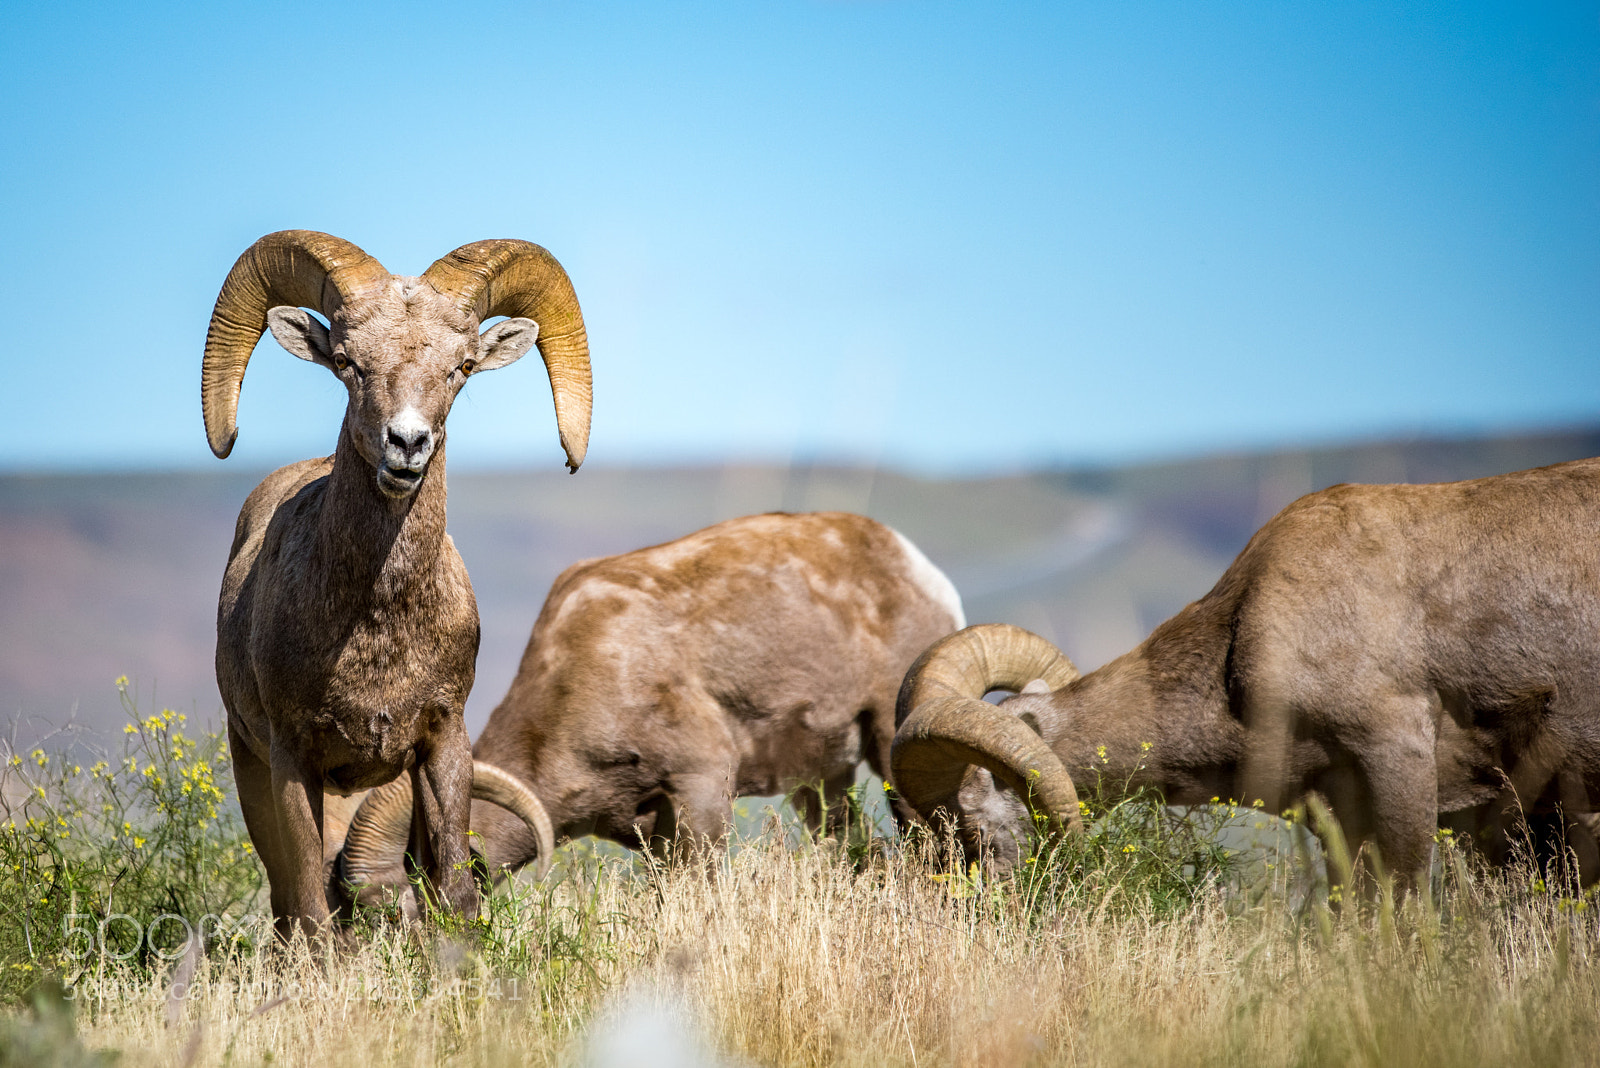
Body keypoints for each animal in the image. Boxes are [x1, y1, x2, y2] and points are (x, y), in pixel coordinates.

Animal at [203, 230, 591, 936]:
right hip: (251, 767)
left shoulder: (441, 745)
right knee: (286, 903)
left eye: (461, 367)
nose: (406, 444)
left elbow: (454, 893)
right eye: (347, 362)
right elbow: (310, 907)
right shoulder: (292, 759)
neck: (379, 628)